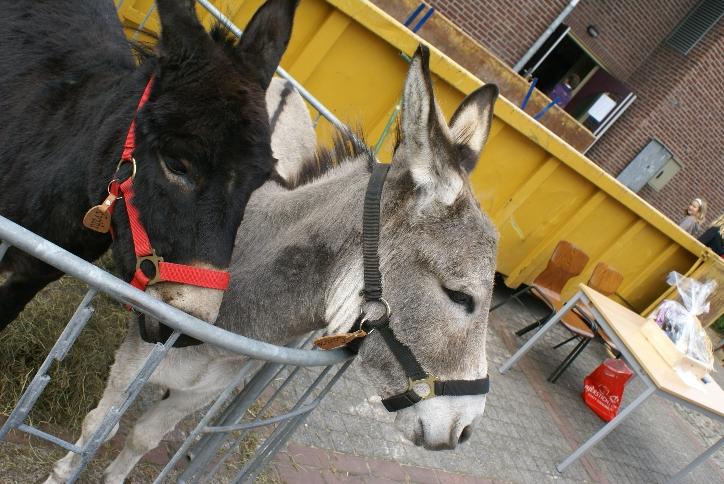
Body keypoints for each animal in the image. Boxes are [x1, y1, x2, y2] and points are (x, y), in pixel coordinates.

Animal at [46, 45, 499, 482]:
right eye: (459, 296)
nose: (464, 431)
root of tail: (282, 85)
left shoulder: (201, 390)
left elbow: (143, 437)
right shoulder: (135, 358)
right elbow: (97, 426)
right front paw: (62, 473)